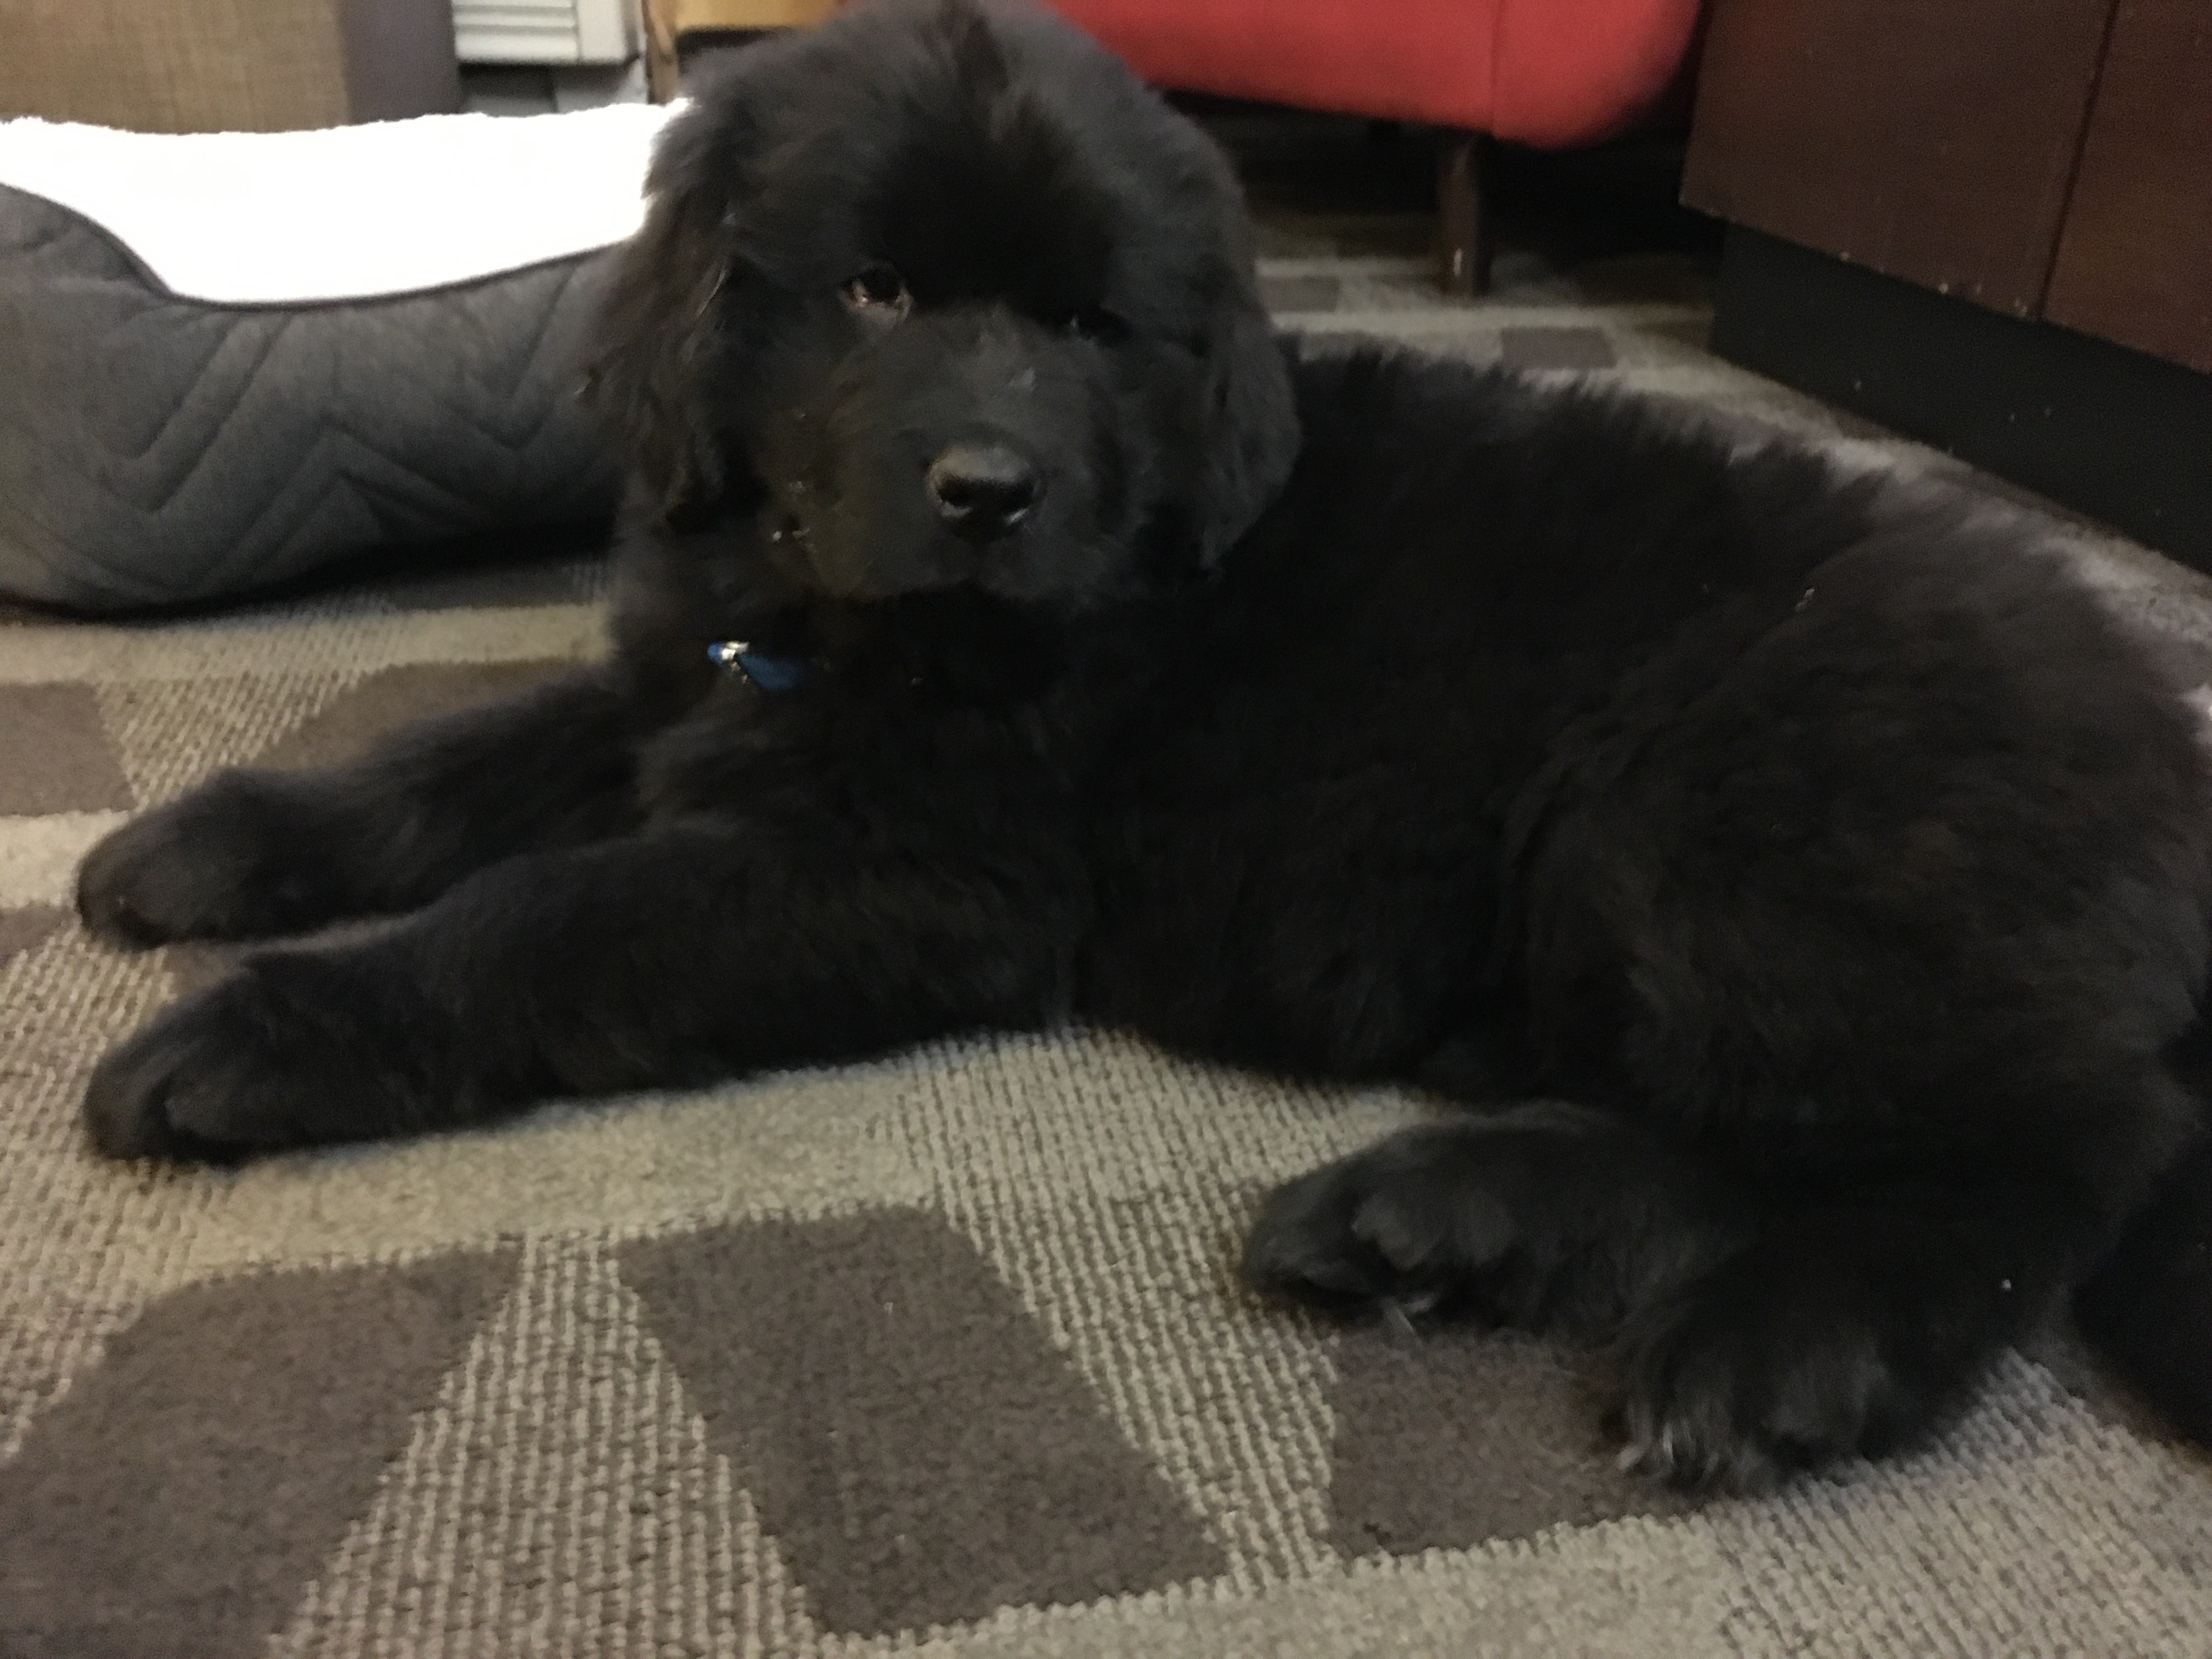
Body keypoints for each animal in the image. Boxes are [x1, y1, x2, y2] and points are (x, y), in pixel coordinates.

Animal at [69, 0, 2212, 1486]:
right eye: (874, 290)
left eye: (1096, 328)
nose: (987, 491)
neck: (849, 619)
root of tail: (2163, 745)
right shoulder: (698, 689)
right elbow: (464, 758)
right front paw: (204, 847)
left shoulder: (914, 872)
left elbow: (545, 920)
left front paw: (260, 1029)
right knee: (1765, 1128)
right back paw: (1431, 1219)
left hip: (1719, 807)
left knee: (2044, 1149)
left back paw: (1773, 1347)